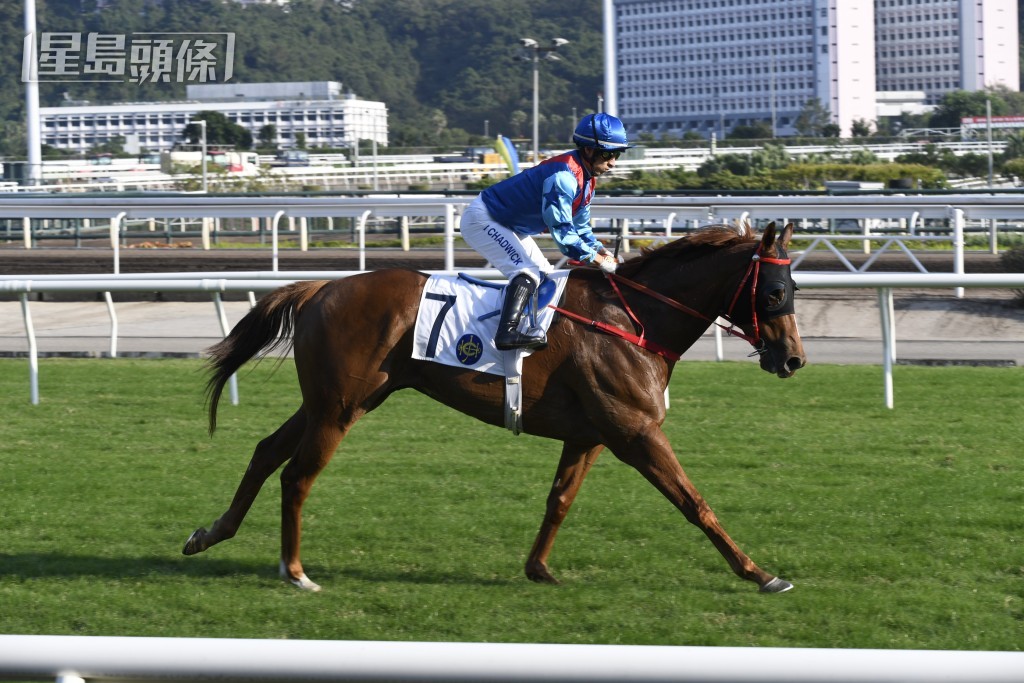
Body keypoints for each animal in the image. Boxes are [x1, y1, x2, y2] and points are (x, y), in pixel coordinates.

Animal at [183, 222, 806, 593]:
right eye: (775, 293)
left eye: (795, 290)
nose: (794, 359)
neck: (634, 321)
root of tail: (320, 288)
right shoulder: (636, 432)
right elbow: (694, 503)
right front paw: (760, 573)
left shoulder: (590, 435)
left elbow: (559, 501)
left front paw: (539, 569)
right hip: (340, 407)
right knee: (297, 475)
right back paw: (295, 572)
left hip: (334, 402)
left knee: (266, 452)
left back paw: (209, 534)